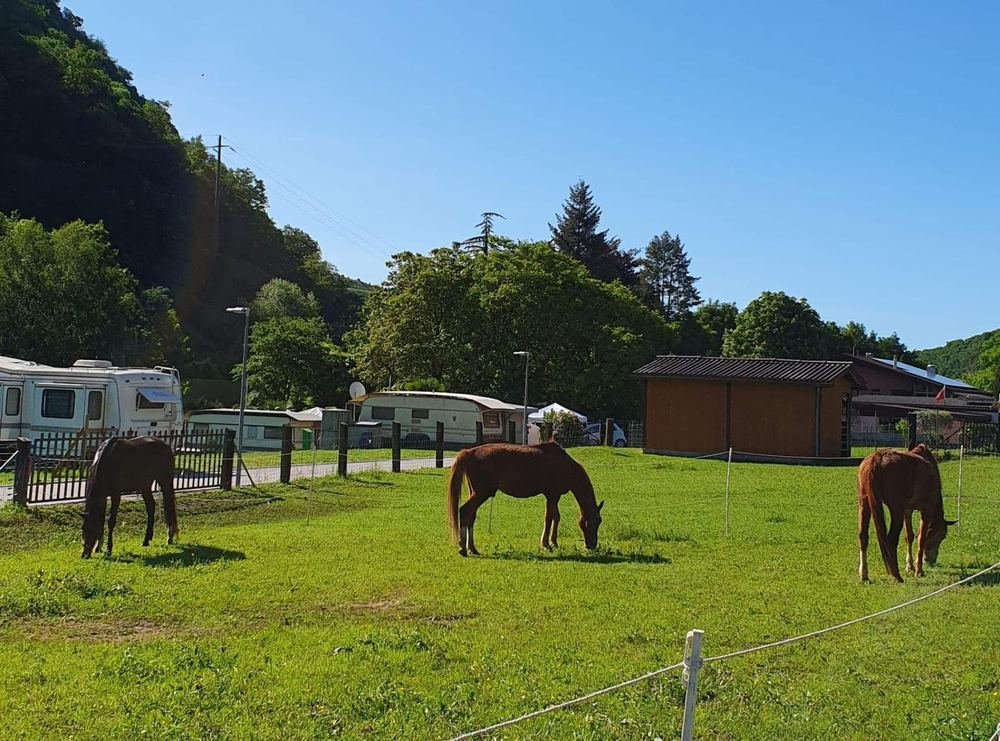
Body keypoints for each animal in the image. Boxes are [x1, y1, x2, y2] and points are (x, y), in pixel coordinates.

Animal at [447, 441, 604, 557]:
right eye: (596, 522)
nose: (592, 545)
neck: (564, 464)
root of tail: (469, 452)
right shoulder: (552, 495)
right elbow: (550, 517)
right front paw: (547, 544)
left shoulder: (553, 496)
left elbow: (554, 517)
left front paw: (552, 543)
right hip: (481, 493)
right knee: (464, 511)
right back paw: (463, 548)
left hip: (475, 493)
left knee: (470, 516)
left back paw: (472, 548)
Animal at [857, 443, 956, 583]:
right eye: (942, 536)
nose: (930, 560)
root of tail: (877, 458)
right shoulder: (926, 510)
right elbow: (921, 539)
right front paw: (919, 570)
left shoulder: (907, 511)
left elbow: (909, 536)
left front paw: (910, 566)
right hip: (895, 509)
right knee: (891, 540)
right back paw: (896, 576)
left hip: (864, 503)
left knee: (863, 536)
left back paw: (864, 575)